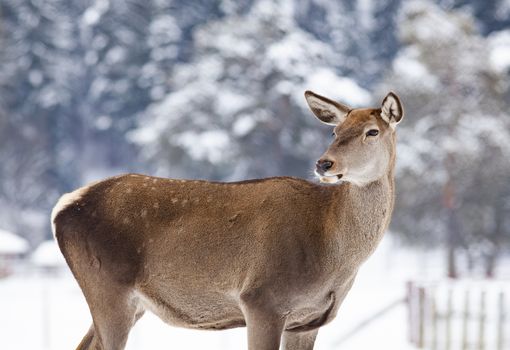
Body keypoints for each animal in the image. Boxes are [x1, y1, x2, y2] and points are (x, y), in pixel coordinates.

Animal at [51, 91, 402, 350]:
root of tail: (63, 207)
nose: (324, 163)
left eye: (372, 132)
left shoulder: (308, 321)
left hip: (130, 302)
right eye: (334, 131)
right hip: (108, 287)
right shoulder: (262, 299)